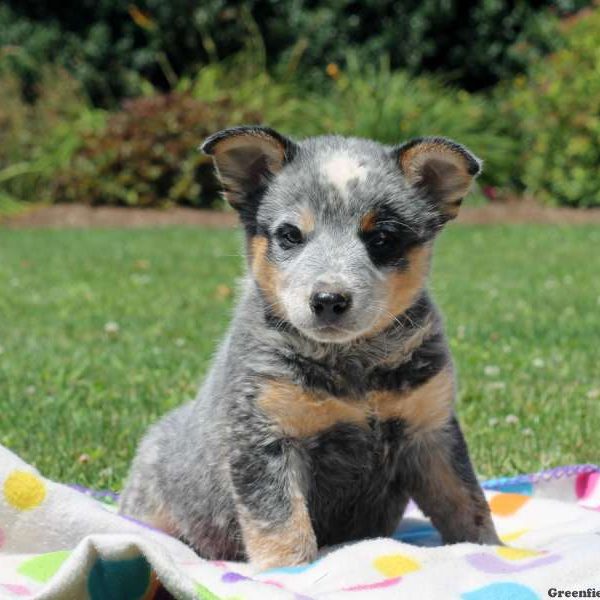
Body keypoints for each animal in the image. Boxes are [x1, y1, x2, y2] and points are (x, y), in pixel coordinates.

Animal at [118, 125, 502, 568]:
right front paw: (289, 572)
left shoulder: (431, 428)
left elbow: (467, 502)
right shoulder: (265, 434)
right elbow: (282, 523)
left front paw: (494, 551)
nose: (329, 299)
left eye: (382, 238)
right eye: (290, 235)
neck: (354, 367)